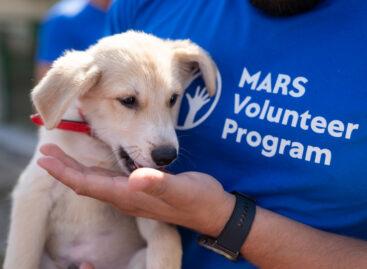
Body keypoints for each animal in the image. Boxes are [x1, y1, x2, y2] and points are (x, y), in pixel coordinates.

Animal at [4, 31, 217, 268]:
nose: (166, 156)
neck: (97, 150)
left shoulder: (152, 213)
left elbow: (166, 245)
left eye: (173, 99)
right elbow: (21, 257)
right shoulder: (33, 193)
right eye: (128, 100)